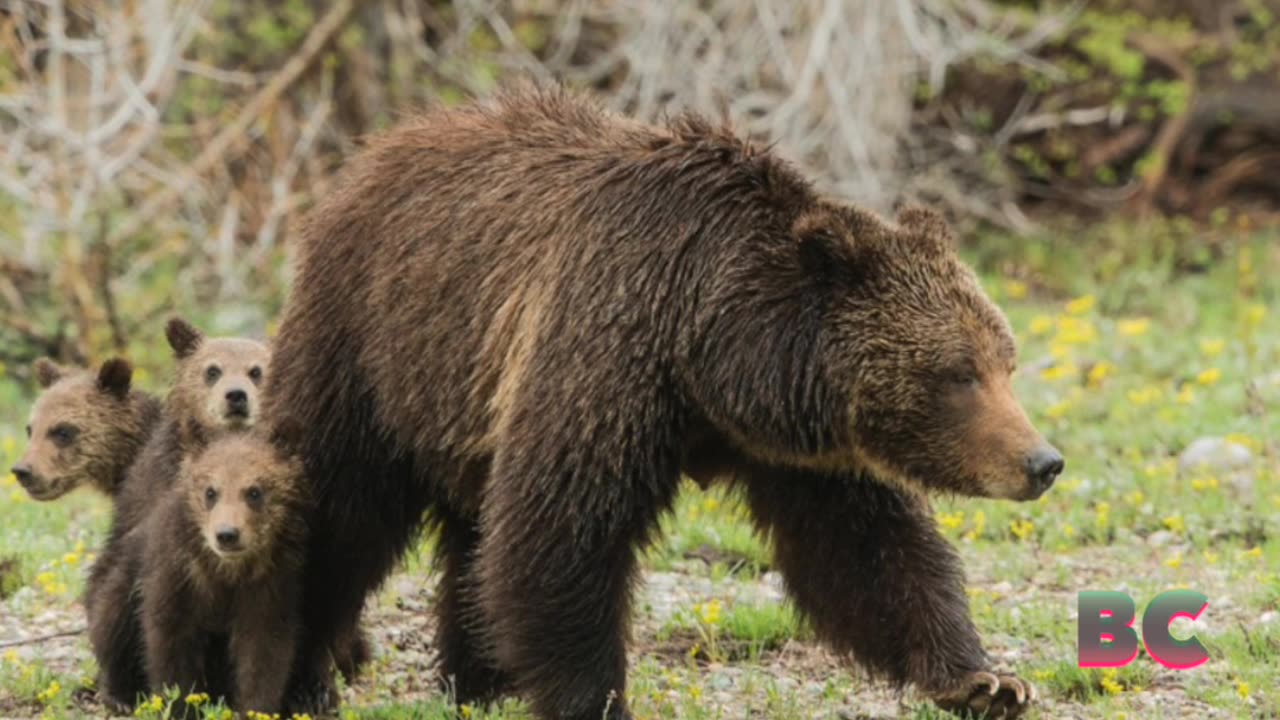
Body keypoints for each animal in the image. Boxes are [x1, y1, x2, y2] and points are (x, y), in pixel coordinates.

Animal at [134, 415, 307, 712]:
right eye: (210, 491)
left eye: (254, 491)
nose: (227, 534)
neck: (227, 572)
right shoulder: (178, 577)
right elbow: (170, 646)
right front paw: (179, 705)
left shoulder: (269, 586)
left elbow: (263, 653)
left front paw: (256, 708)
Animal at [267, 85, 1059, 717]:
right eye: (959, 373)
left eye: (1006, 361)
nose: (1043, 461)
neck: (710, 352)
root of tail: (376, 150)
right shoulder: (610, 353)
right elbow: (562, 532)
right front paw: (592, 697)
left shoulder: (801, 448)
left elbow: (868, 549)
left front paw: (984, 680)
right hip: (371, 347)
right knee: (339, 509)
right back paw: (304, 676)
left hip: (462, 404)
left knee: (472, 533)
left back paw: (482, 679)